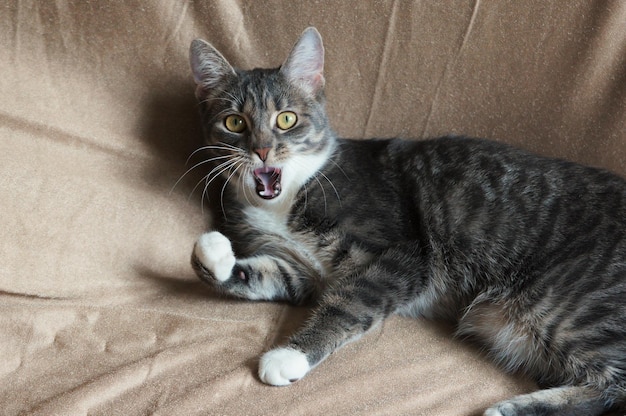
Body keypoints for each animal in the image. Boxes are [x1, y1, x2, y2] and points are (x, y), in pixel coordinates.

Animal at [186, 27, 624, 414]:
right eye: (234, 123)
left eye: (287, 119)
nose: (261, 150)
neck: (288, 197)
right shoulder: (300, 271)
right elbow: (264, 275)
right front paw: (212, 253)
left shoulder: (404, 255)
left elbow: (349, 302)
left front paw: (289, 356)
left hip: (566, 305)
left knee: (614, 388)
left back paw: (513, 409)